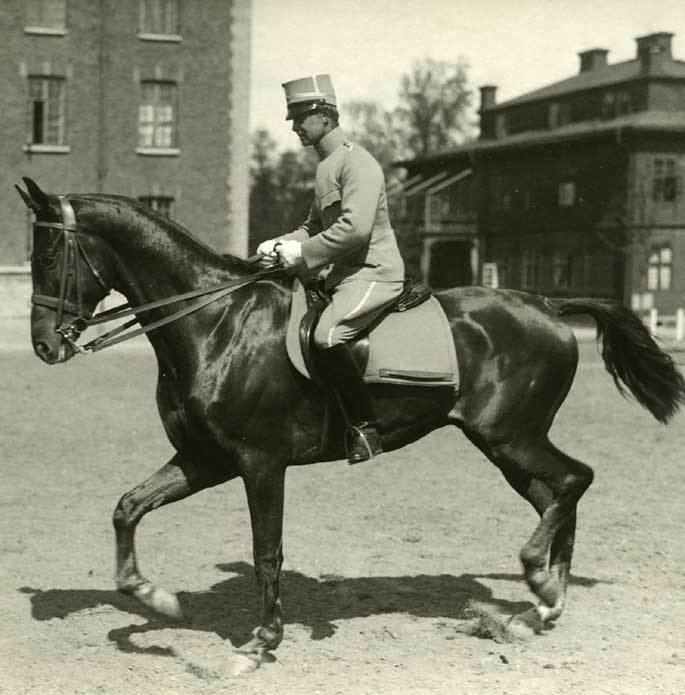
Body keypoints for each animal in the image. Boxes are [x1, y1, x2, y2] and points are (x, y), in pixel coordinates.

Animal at [16, 177, 684, 672]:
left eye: (48, 256)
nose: (45, 346)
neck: (216, 324)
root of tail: (546, 303)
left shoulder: (260, 463)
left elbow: (266, 550)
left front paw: (262, 640)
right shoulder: (205, 461)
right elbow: (127, 508)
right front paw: (152, 595)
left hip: (510, 436)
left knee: (574, 481)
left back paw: (540, 585)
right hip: (504, 445)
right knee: (557, 497)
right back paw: (541, 606)